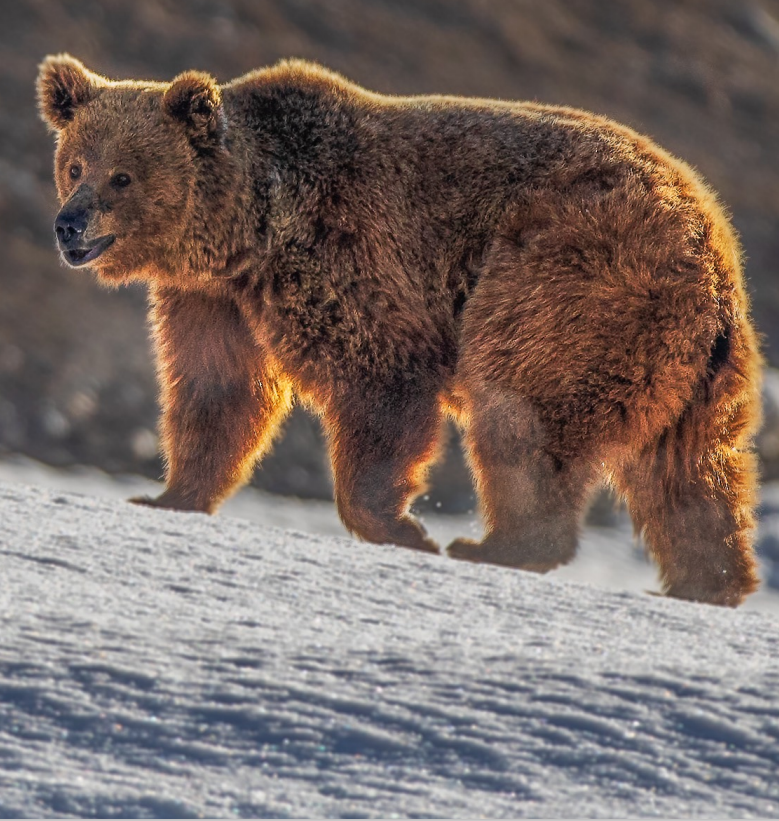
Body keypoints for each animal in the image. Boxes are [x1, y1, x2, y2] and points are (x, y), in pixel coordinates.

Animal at [37, 54, 762, 606]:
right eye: (74, 165)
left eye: (122, 175)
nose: (69, 225)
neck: (248, 228)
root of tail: (709, 241)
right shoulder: (215, 301)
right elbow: (219, 393)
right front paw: (167, 495)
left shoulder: (348, 252)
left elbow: (380, 381)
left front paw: (401, 527)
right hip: (694, 364)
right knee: (690, 473)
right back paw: (707, 583)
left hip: (565, 284)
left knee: (522, 413)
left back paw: (494, 545)